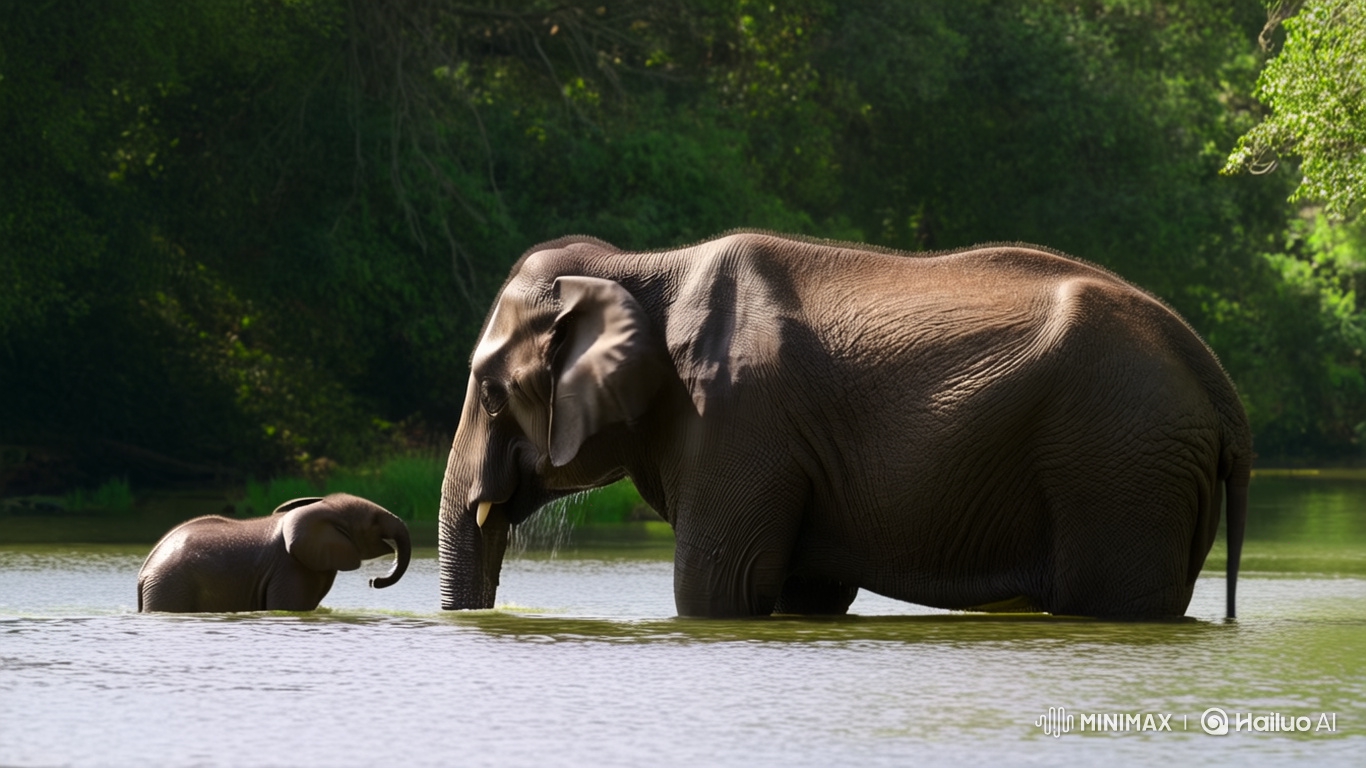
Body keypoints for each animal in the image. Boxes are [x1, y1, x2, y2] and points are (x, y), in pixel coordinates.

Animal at [438, 231, 1250, 619]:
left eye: (490, 394)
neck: (641, 266)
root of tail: (1218, 382)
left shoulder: (737, 421)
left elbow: (717, 588)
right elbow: (806, 592)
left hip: (1120, 469)